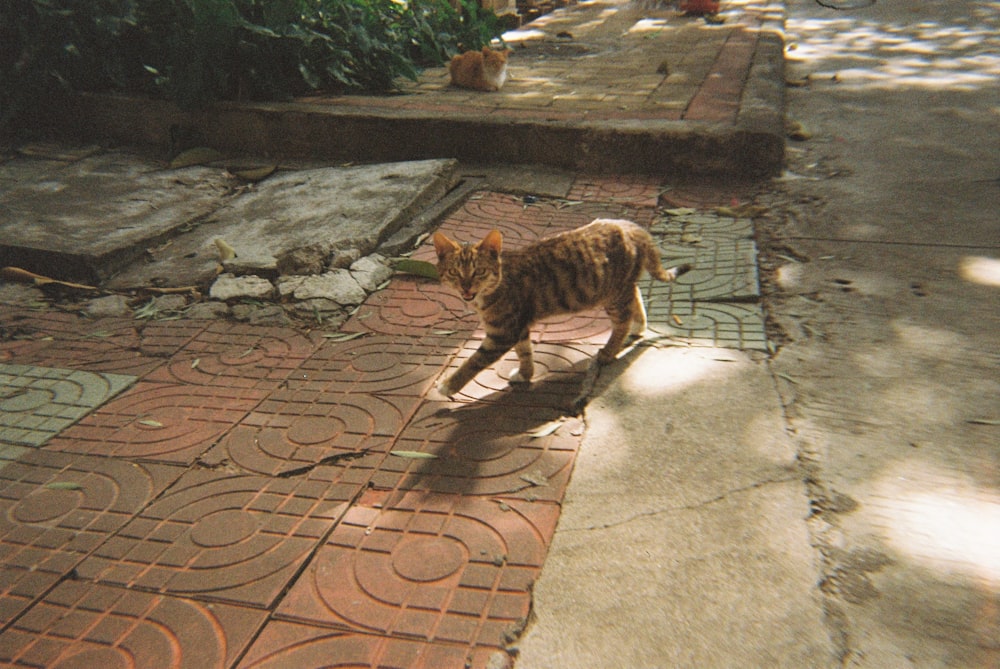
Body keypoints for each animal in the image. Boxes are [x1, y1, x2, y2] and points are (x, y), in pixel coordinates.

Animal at [434, 219, 692, 396]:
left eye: (479, 271)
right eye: (454, 272)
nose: (466, 288)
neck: (500, 280)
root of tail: (630, 226)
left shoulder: (502, 334)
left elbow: (474, 361)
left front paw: (448, 385)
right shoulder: (519, 327)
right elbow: (525, 352)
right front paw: (526, 374)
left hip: (612, 294)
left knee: (623, 320)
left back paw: (609, 351)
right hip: (621, 287)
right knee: (636, 297)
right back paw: (639, 327)